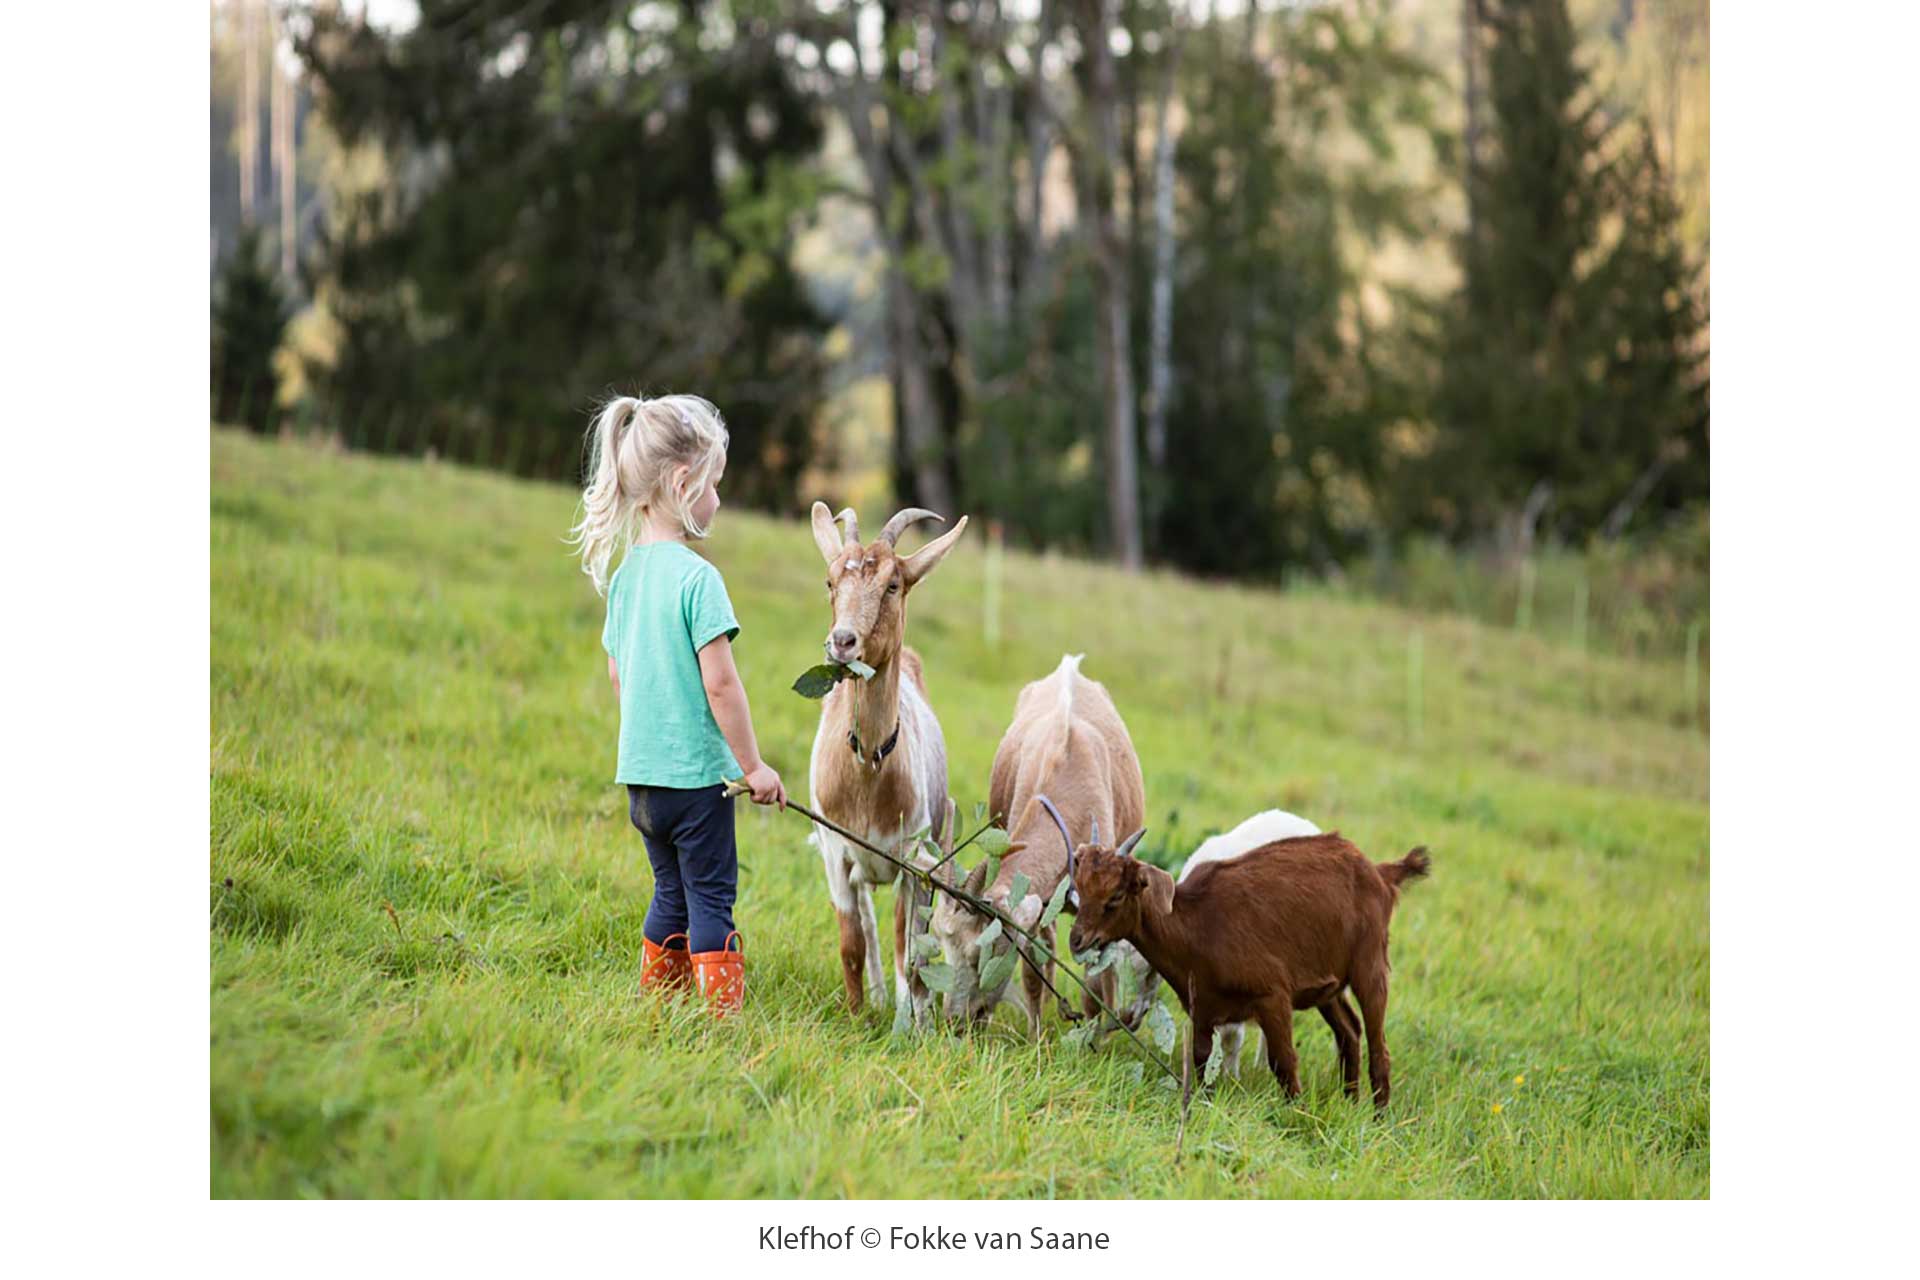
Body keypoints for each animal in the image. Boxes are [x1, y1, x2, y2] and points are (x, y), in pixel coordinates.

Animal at [806, 506, 967, 1028]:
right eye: (831, 579)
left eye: (893, 584)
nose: (842, 642)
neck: (868, 767)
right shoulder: (836, 852)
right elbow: (852, 940)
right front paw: (857, 1016)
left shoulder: (911, 860)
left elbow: (908, 948)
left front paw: (908, 1022)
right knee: (866, 920)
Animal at [925, 656, 1136, 1036]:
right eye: (945, 946)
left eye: (982, 954)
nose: (956, 1021)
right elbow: (1033, 971)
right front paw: (1037, 1036)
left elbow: (1094, 979)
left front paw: (1094, 1040)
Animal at [1067, 825, 1428, 1105]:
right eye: (1079, 888)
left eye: (1115, 896)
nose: (1076, 940)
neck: (1196, 928)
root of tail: (1380, 872)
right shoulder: (1203, 1009)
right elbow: (1201, 1059)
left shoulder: (1273, 996)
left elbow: (1284, 1061)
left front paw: (1297, 1116)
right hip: (1328, 985)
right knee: (1349, 1031)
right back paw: (1349, 1103)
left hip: (1370, 963)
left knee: (1378, 1046)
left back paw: (1378, 1118)